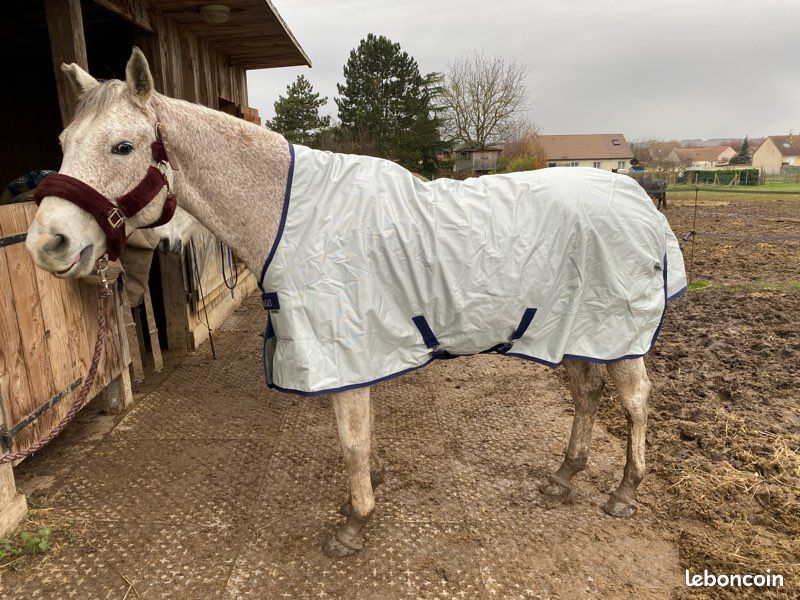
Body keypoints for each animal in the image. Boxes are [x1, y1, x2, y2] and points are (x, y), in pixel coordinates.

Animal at [26, 48, 686, 557]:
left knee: (633, 402)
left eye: (122, 146)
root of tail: (637, 196)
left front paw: (353, 525)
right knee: (587, 394)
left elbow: (350, 441)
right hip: (569, 327)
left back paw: (624, 492)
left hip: (616, 331)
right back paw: (563, 477)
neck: (292, 214)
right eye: (62, 141)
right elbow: (362, 437)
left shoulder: (342, 353)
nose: (47, 243)